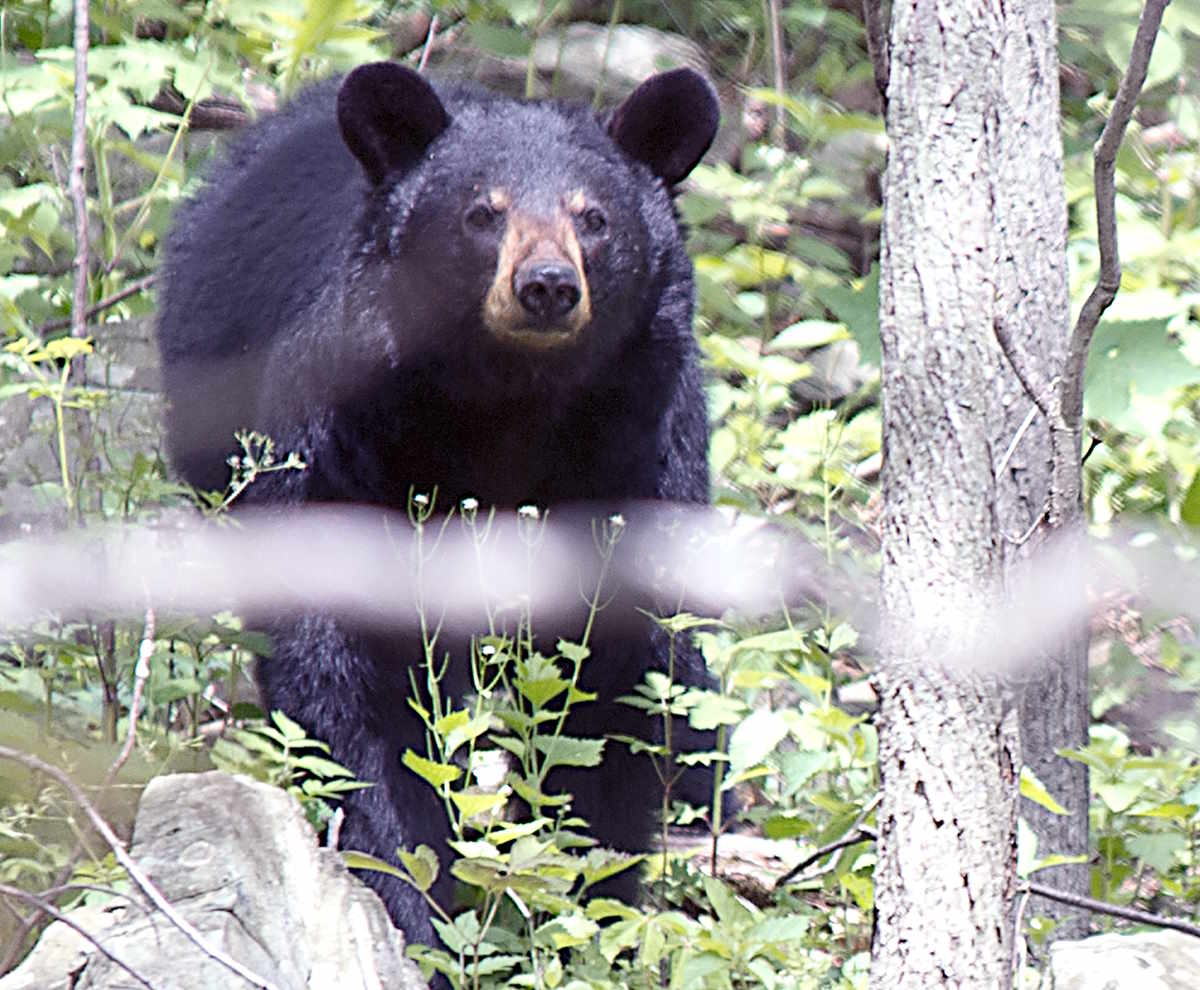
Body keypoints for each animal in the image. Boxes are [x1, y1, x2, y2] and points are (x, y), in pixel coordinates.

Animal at [159, 60, 720, 940]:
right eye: (483, 213)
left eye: (594, 218)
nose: (547, 286)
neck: (509, 405)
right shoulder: (348, 444)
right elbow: (353, 681)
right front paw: (412, 900)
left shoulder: (636, 457)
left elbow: (618, 685)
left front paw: (585, 906)